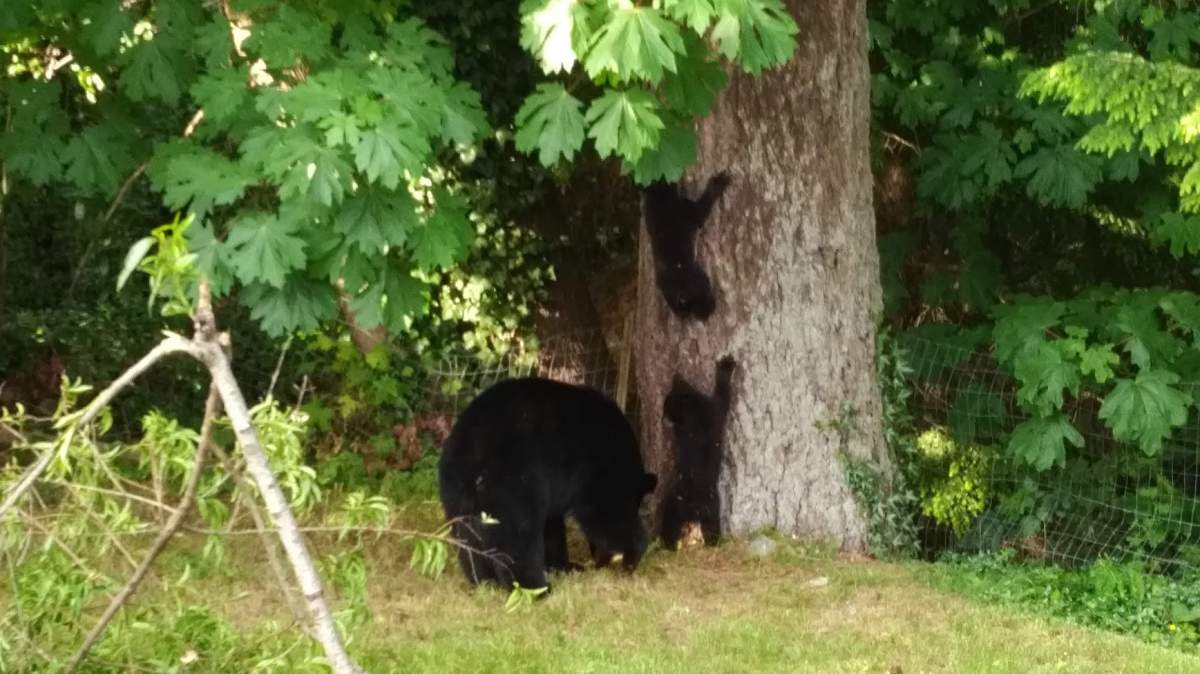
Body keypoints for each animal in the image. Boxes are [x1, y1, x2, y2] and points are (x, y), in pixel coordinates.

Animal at [438, 377, 657, 593]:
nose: (596, 557)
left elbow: (552, 526)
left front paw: (566, 566)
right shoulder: (601, 467)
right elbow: (605, 512)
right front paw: (632, 557)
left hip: (457, 495)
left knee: (469, 539)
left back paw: (484, 582)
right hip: (513, 482)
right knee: (518, 536)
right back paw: (537, 588)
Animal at [659, 356, 737, 550]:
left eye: (666, 409)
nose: (662, 419)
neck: (694, 406)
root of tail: (696, 509)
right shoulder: (716, 410)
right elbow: (723, 395)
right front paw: (727, 365)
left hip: (675, 505)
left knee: (669, 528)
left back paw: (667, 547)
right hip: (713, 511)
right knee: (713, 532)